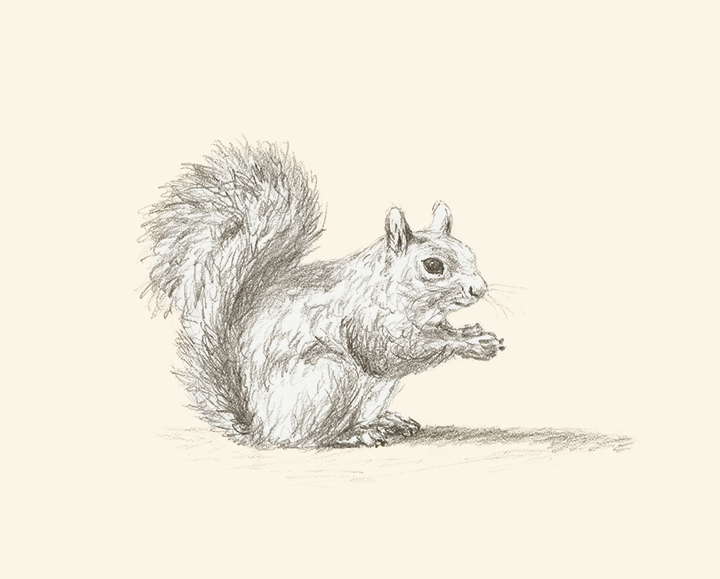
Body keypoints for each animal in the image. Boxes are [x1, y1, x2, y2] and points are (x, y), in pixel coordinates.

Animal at [141, 140, 504, 448]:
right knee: (307, 438)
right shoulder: (362, 320)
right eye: (432, 266)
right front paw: (469, 342)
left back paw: (384, 422)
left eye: (470, 254)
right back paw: (354, 434)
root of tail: (259, 428)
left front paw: (472, 333)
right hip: (329, 378)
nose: (479, 289)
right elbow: (390, 353)